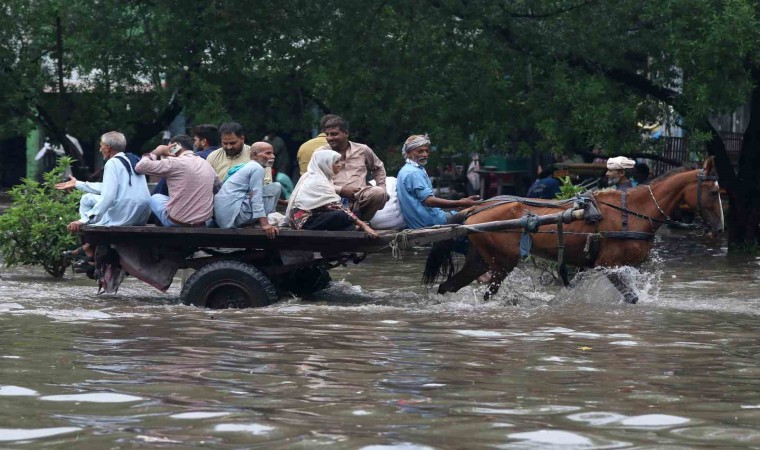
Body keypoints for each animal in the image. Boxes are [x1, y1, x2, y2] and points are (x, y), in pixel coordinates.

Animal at [422, 156, 724, 304]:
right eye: (713, 192)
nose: (720, 228)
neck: (633, 212)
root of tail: (475, 211)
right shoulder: (608, 266)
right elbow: (632, 297)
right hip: (502, 263)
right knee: (485, 293)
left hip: (480, 260)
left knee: (448, 286)